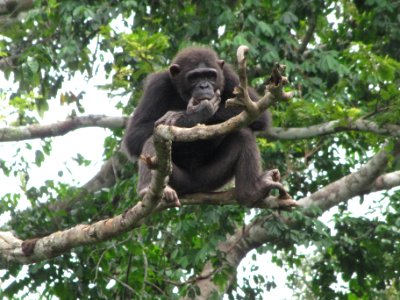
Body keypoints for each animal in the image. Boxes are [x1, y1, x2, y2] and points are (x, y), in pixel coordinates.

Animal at [123, 47, 282, 207]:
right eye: (194, 77)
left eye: (210, 75)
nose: (204, 86)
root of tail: (192, 186)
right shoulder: (157, 85)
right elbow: (135, 134)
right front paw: (197, 113)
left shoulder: (229, 77)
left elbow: (258, 114)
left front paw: (184, 115)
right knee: (153, 141)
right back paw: (146, 189)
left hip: (211, 179)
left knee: (243, 134)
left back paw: (252, 191)